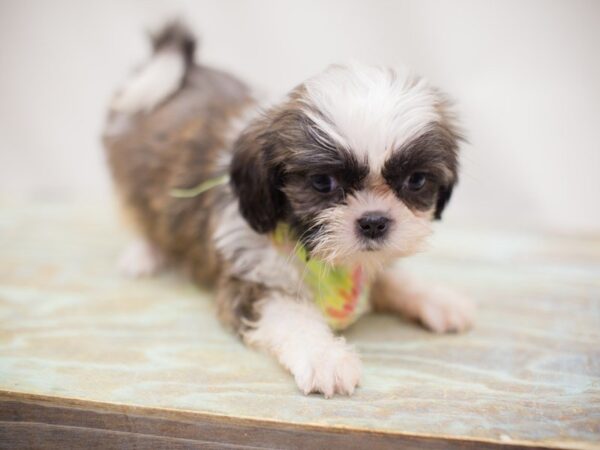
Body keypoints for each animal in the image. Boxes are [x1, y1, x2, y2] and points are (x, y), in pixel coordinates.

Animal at [103, 22, 474, 398]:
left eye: (416, 181)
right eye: (323, 182)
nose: (374, 222)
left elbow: (393, 276)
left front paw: (437, 299)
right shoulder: (251, 279)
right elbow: (290, 315)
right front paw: (325, 356)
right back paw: (145, 252)